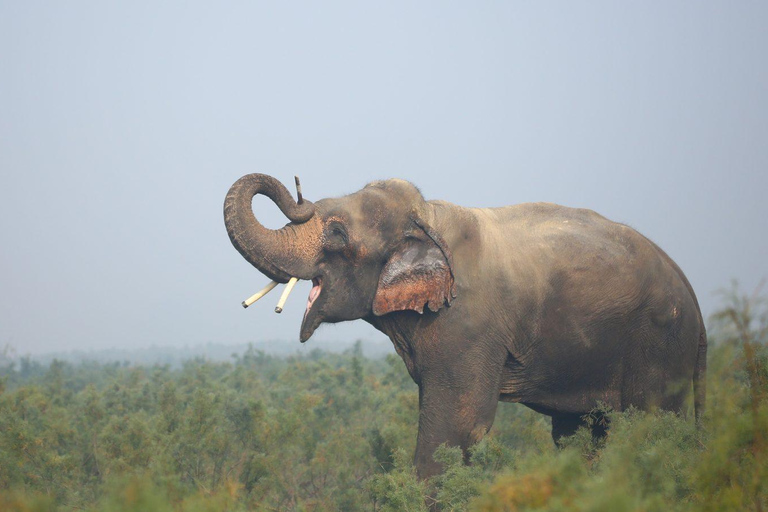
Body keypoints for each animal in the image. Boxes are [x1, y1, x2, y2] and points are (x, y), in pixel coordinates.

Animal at [223, 173, 707, 479]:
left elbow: (457, 427)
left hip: (660, 343)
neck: (427, 217)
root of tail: (697, 306)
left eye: (338, 235)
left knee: (652, 424)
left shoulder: (467, 323)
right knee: (579, 434)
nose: (300, 195)